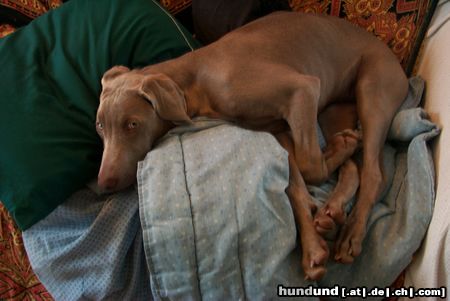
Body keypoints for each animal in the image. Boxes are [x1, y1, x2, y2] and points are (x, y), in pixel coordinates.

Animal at [96, 11, 410, 278]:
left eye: (132, 125)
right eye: (100, 127)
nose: (104, 183)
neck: (197, 78)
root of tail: (393, 58)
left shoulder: (302, 90)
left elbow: (311, 168)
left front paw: (339, 152)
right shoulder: (279, 130)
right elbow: (295, 185)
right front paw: (312, 249)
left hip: (372, 90)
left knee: (373, 172)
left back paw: (350, 234)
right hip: (334, 112)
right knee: (353, 167)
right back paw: (332, 209)